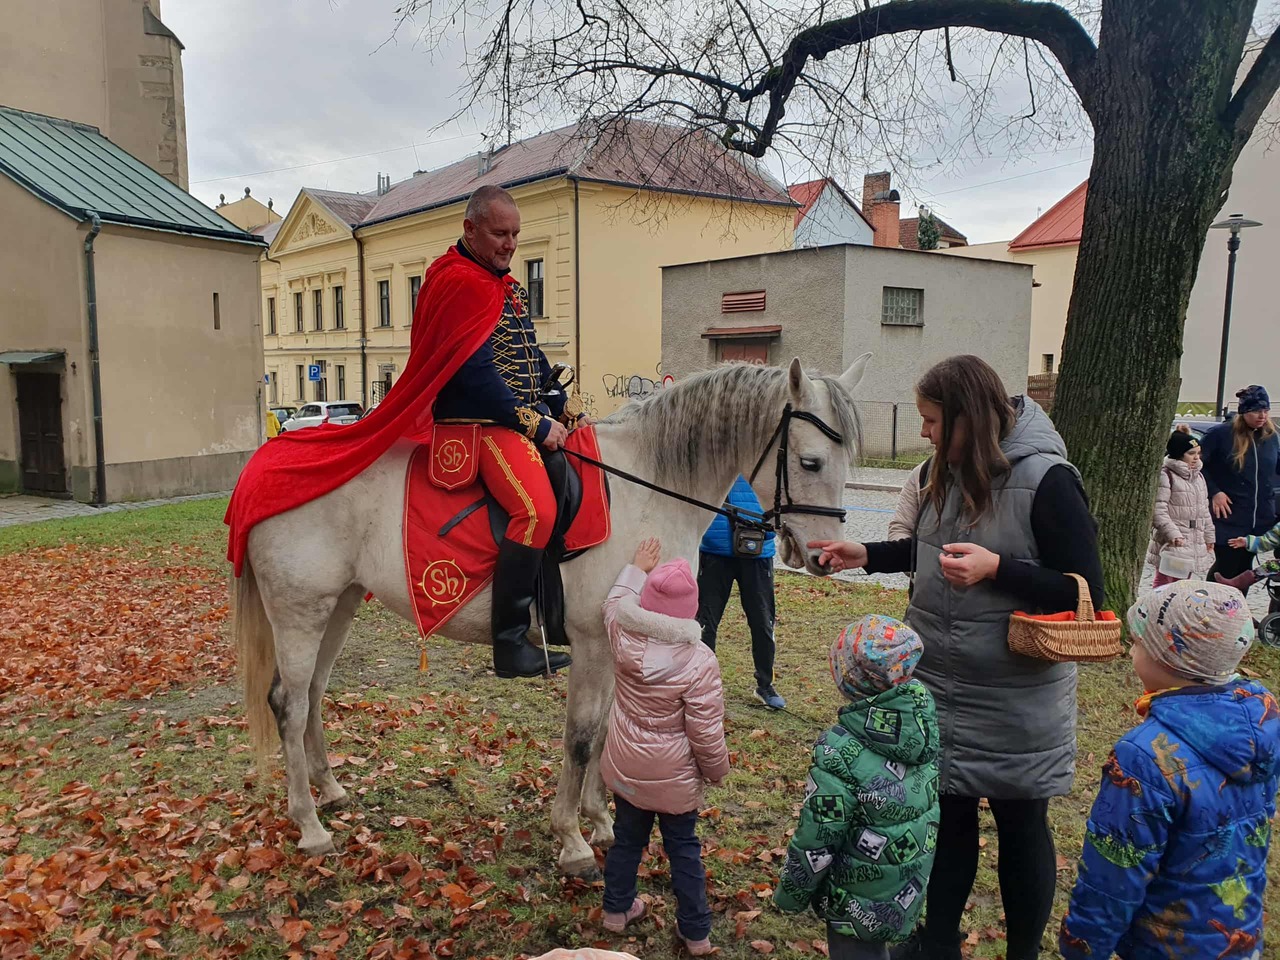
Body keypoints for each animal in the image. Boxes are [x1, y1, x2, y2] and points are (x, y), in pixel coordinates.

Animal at [233, 354, 869, 877]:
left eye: (847, 464)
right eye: (810, 461)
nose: (822, 556)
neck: (647, 491)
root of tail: (266, 464)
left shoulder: (623, 639)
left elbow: (610, 729)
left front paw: (601, 820)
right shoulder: (591, 643)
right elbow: (583, 738)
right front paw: (573, 838)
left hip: (338, 605)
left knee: (313, 694)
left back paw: (330, 789)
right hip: (300, 612)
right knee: (288, 704)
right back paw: (309, 824)